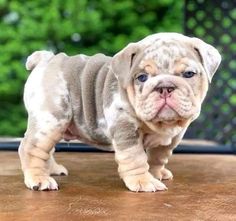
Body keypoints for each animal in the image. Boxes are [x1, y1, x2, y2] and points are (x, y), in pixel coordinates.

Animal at [18, 32, 221, 192]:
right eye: (142, 77)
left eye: (189, 74)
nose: (164, 87)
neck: (162, 125)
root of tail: (46, 59)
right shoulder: (126, 129)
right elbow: (135, 158)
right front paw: (144, 181)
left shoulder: (172, 139)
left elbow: (158, 157)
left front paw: (156, 173)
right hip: (51, 120)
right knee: (32, 148)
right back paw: (39, 179)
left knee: (46, 150)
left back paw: (51, 170)